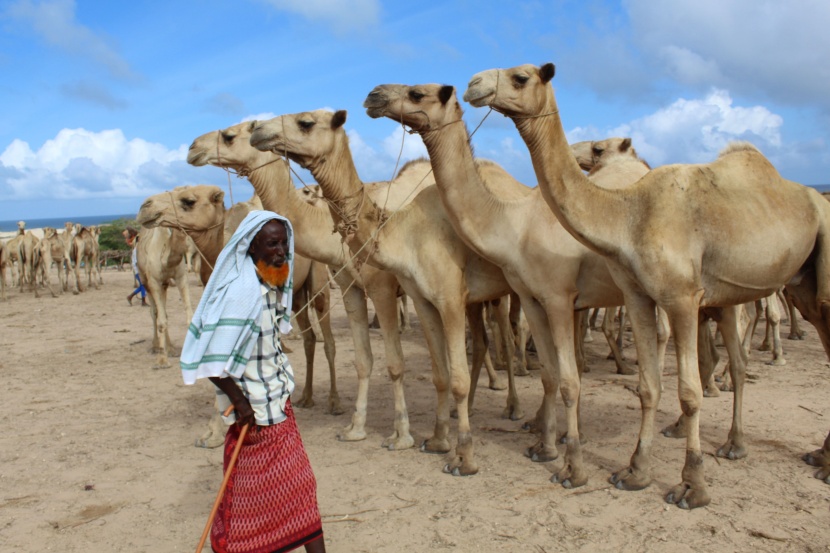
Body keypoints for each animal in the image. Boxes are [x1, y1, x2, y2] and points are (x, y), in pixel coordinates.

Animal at [188, 119, 512, 448]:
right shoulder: (349, 288)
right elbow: (363, 360)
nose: (192, 148)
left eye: (229, 136)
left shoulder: (382, 288)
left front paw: (401, 434)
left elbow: (395, 363)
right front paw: (356, 428)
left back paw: (510, 409)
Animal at [464, 62, 830, 506]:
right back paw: (774, 449)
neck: (629, 213)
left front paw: (692, 485)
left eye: (521, 77)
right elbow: (648, 386)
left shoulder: (682, 297)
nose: (473, 84)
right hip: (790, 289)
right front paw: (635, 471)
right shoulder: (638, 296)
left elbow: (689, 392)